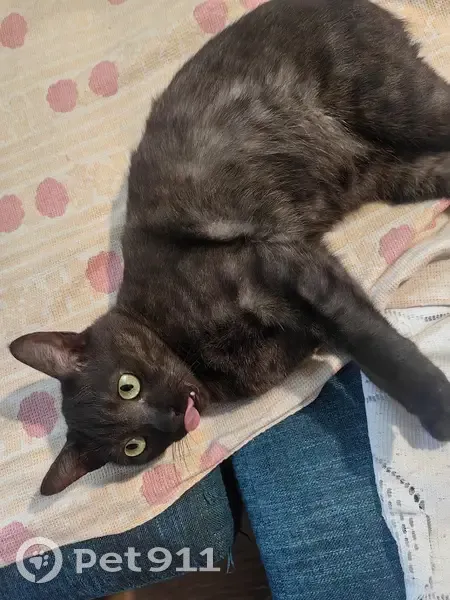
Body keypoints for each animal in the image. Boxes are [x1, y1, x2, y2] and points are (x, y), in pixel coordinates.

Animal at [9, 0, 450, 495]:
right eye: (134, 446)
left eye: (128, 386)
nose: (167, 415)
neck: (195, 356)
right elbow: (348, 334)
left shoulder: (281, 265)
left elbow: (371, 342)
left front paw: (435, 404)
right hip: (398, 173)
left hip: (398, 106)